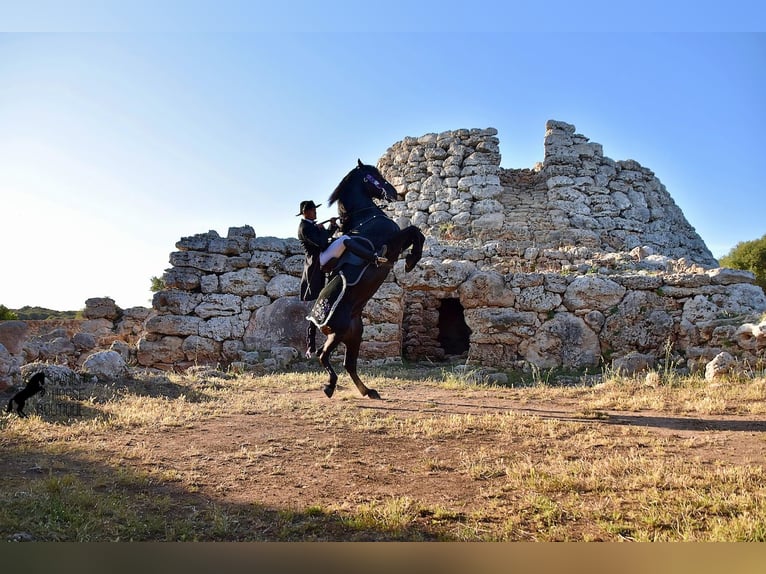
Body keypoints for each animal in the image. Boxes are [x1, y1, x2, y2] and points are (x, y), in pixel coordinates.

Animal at [314, 159, 432, 400]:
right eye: (375, 177)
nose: (394, 192)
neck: (366, 219)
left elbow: (417, 233)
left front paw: (412, 259)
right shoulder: (392, 243)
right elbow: (415, 231)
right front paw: (411, 261)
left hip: (354, 335)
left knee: (348, 364)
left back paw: (368, 391)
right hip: (338, 332)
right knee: (324, 357)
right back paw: (330, 386)